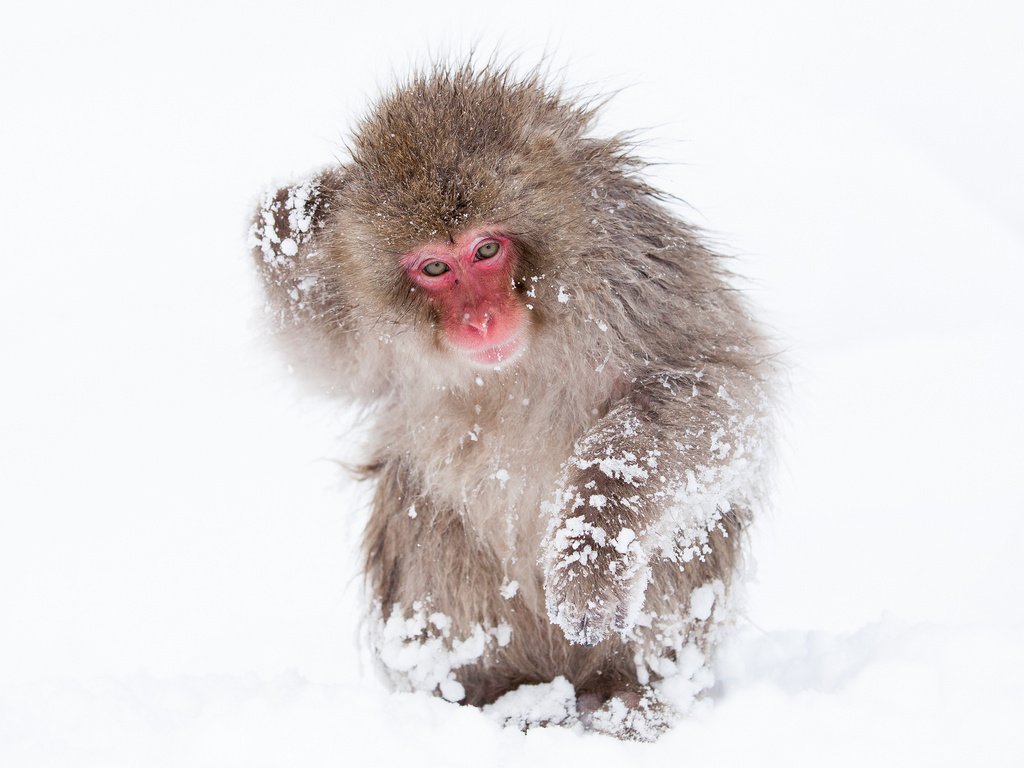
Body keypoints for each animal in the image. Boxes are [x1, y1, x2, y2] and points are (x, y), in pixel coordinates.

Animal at [251, 64, 770, 741]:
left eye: (487, 250)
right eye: (435, 268)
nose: (480, 319)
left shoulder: (633, 271)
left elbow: (715, 390)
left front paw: (591, 547)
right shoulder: (361, 321)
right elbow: (320, 359)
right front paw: (288, 222)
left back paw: (635, 697)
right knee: (427, 519)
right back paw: (496, 699)